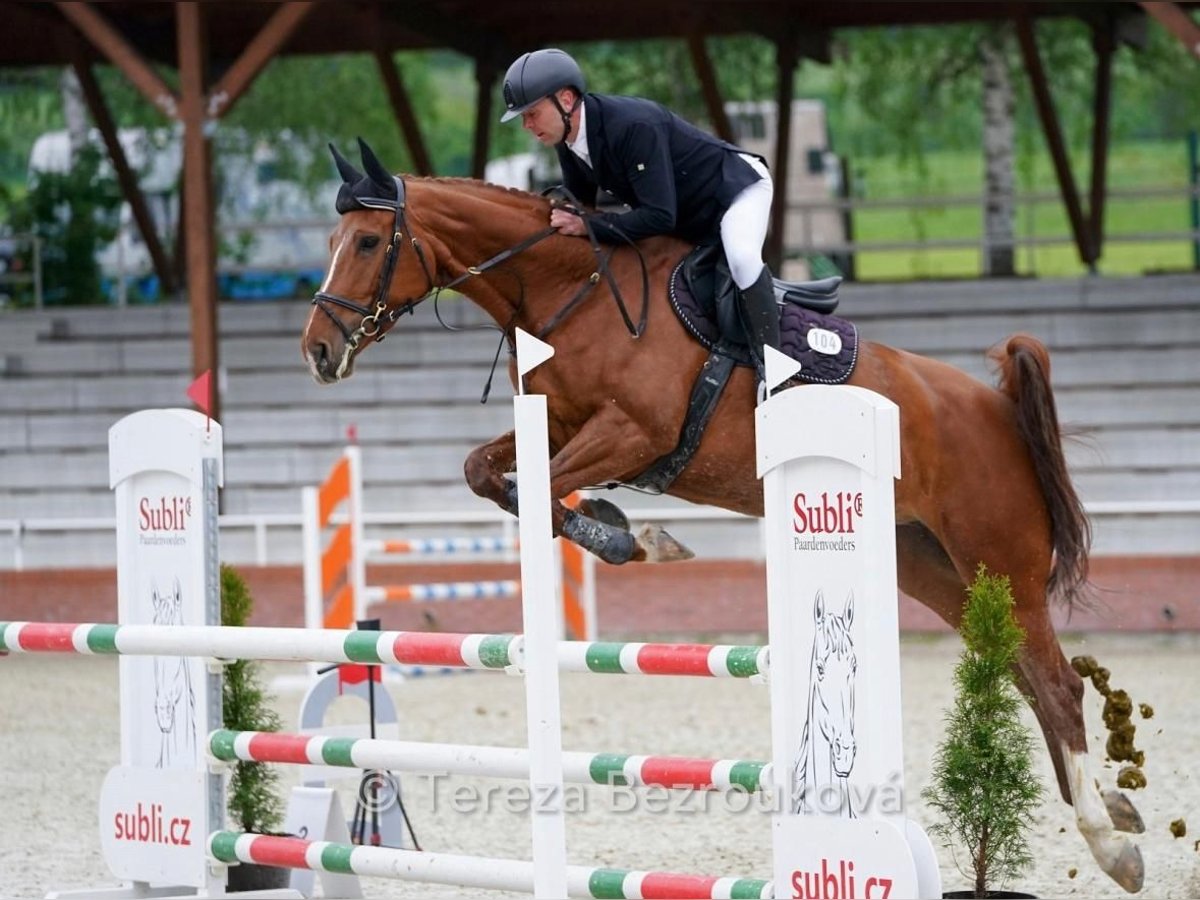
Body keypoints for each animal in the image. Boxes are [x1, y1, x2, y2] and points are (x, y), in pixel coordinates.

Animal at [300, 142, 1142, 897]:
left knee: (1056, 683)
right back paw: (1114, 811)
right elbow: (489, 474)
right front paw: (622, 528)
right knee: (1024, 673)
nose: (317, 350)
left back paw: (1111, 845)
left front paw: (629, 535)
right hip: (931, 566)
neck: (569, 289)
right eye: (332, 243)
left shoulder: (633, 433)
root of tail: (995, 406)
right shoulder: (557, 427)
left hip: (999, 559)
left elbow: (543, 494)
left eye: (368, 241)